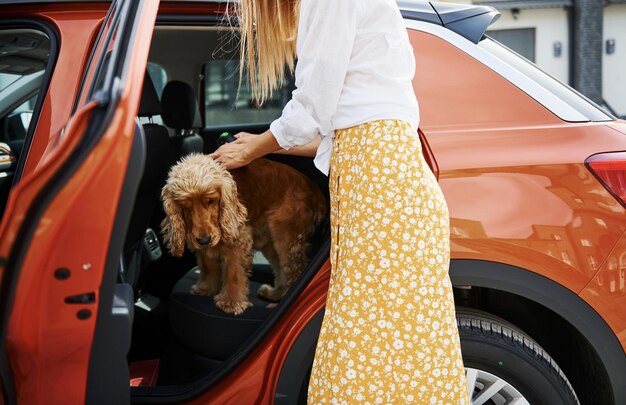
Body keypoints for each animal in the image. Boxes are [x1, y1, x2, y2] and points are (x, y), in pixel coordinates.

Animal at [161, 153, 326, 314]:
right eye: (185, 206)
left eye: (211, 201)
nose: (204, 240)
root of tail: (314, 189)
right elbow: (208, 266)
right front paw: (206, 288)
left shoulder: (239, 238)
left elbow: (234, 271)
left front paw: (231, 303)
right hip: (270, 242)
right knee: (281, 269)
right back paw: (274, 294)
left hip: (287, 237)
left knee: (294, 270)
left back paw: (278, 305)